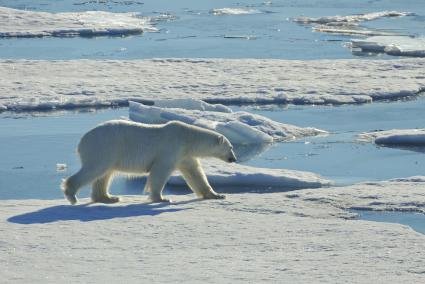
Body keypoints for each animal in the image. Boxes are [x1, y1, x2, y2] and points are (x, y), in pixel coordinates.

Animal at [61, 119, 237, 204]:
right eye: (231, 147)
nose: (233, 159)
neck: (186, 138)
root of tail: (82, 140)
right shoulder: (170, 149)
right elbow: (160, 172)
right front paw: (162, 198)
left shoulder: (184, 155)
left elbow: (195, 173)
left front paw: (217, 195)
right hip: (104, 147)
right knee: (95, 169)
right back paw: (72, 195)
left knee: (104, 175)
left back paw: (108, 198)